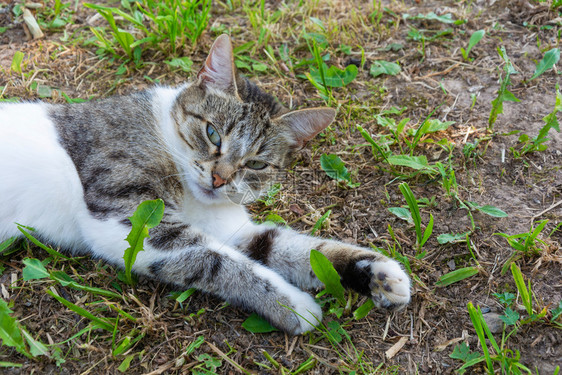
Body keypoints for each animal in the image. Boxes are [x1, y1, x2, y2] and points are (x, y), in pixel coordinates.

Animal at [0, 34, 410, 334]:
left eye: (256, 163)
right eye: (213, 133)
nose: (219, 178)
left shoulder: (234, 231)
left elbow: (301, 250)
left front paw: (377, 271)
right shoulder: (130, 219)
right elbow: (220, 262)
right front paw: (293, 305)